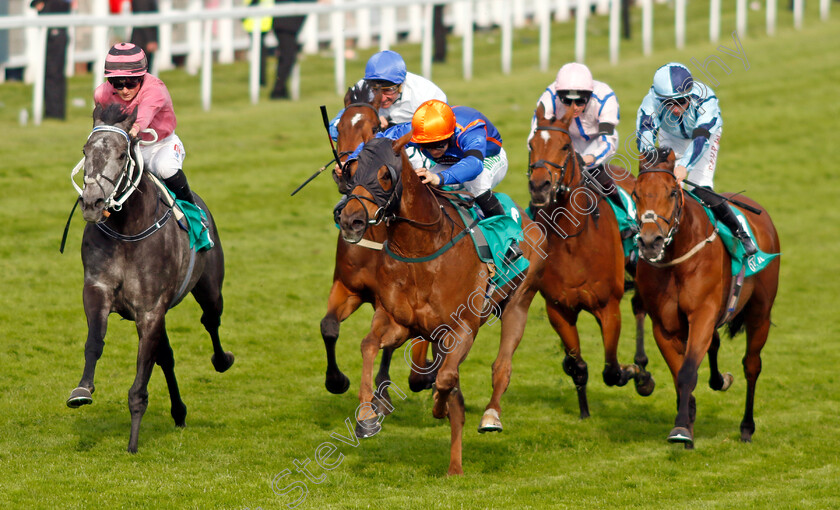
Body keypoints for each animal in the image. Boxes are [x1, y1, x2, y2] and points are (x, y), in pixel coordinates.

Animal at [66, 101, 233, 452]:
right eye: (85, 150)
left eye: (121, 155)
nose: (92, 202)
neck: (127, 231)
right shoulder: (98, 291)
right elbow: (95, 342)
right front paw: (82, 390)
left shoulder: (150, 310)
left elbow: (140, 381)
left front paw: (133, 442)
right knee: (166, 357)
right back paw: (179, 412)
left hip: (210, 287)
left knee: (210, 319)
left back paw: (222, 360)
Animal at [336, 134, 540, 474]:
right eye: (351, 173)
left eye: (385, 175)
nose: (351, 220)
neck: (420, 248)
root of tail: (526, 218)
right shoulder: (399, 322)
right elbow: (368, 345)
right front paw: (366, 417)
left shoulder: (462, 328)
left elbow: (447, 379)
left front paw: (438, 405)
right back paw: (454, 465)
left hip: (519, 302)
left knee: (501, 365)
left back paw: (489, 417)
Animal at [496, 101, 652, 420]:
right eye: (531, 144)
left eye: (566, 146)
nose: (540, 186)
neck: (572, 239)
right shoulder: (560, 309)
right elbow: (578, 365)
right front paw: (584, 411)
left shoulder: (608, 307)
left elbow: (612, 371)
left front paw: (634, 372)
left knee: (640, 306)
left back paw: (642, 369)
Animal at [636, 144, 780, 446]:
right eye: (636, 193)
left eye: (672, 192)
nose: (650, 242)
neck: (677, 257)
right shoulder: (664, 327)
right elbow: (680, 374)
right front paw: (687, 419)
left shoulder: (702, 314)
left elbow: (688, 371)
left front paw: (681, 429)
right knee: (714, 344)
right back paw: (719, 381)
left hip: (760, 313)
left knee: (752, 365)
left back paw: (747, 427)